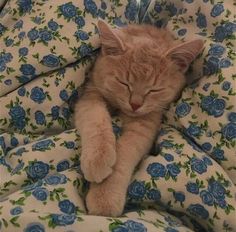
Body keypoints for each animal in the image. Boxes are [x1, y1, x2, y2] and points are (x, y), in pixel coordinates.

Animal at [74, 20, 204, 218]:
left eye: (154, 90)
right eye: (123, 83)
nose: (135, 104)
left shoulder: (146, 123)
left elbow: (127, 150)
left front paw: (105, 195)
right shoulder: (90, 95)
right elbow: (96, 119)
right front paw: (97, 157)